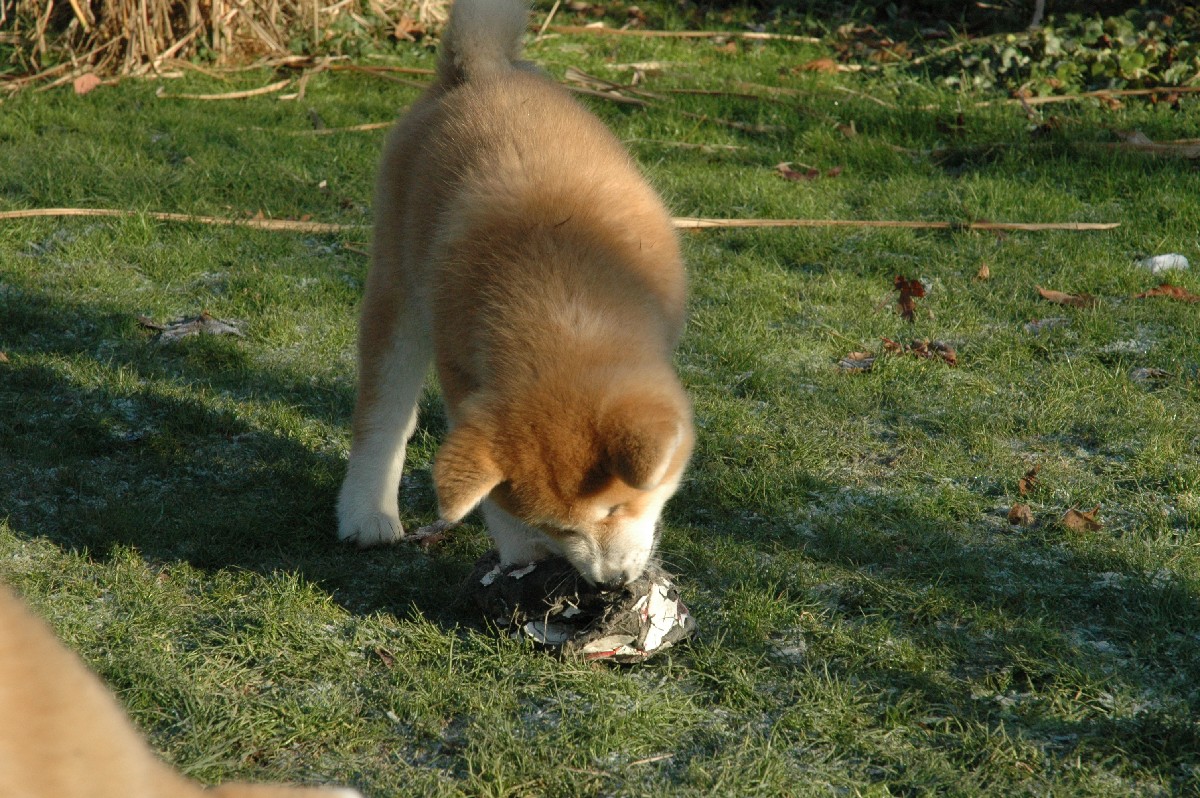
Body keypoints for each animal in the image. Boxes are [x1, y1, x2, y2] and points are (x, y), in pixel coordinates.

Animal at [336, 0, 693, 588]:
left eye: (618, 508)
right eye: (559, 528)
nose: (610, 582)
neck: (563, 304)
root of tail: (480, 69)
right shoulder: (465, 381)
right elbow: (494, 499)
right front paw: (521, 553)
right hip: (398, 288)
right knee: (382, 412)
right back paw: (366, 513)